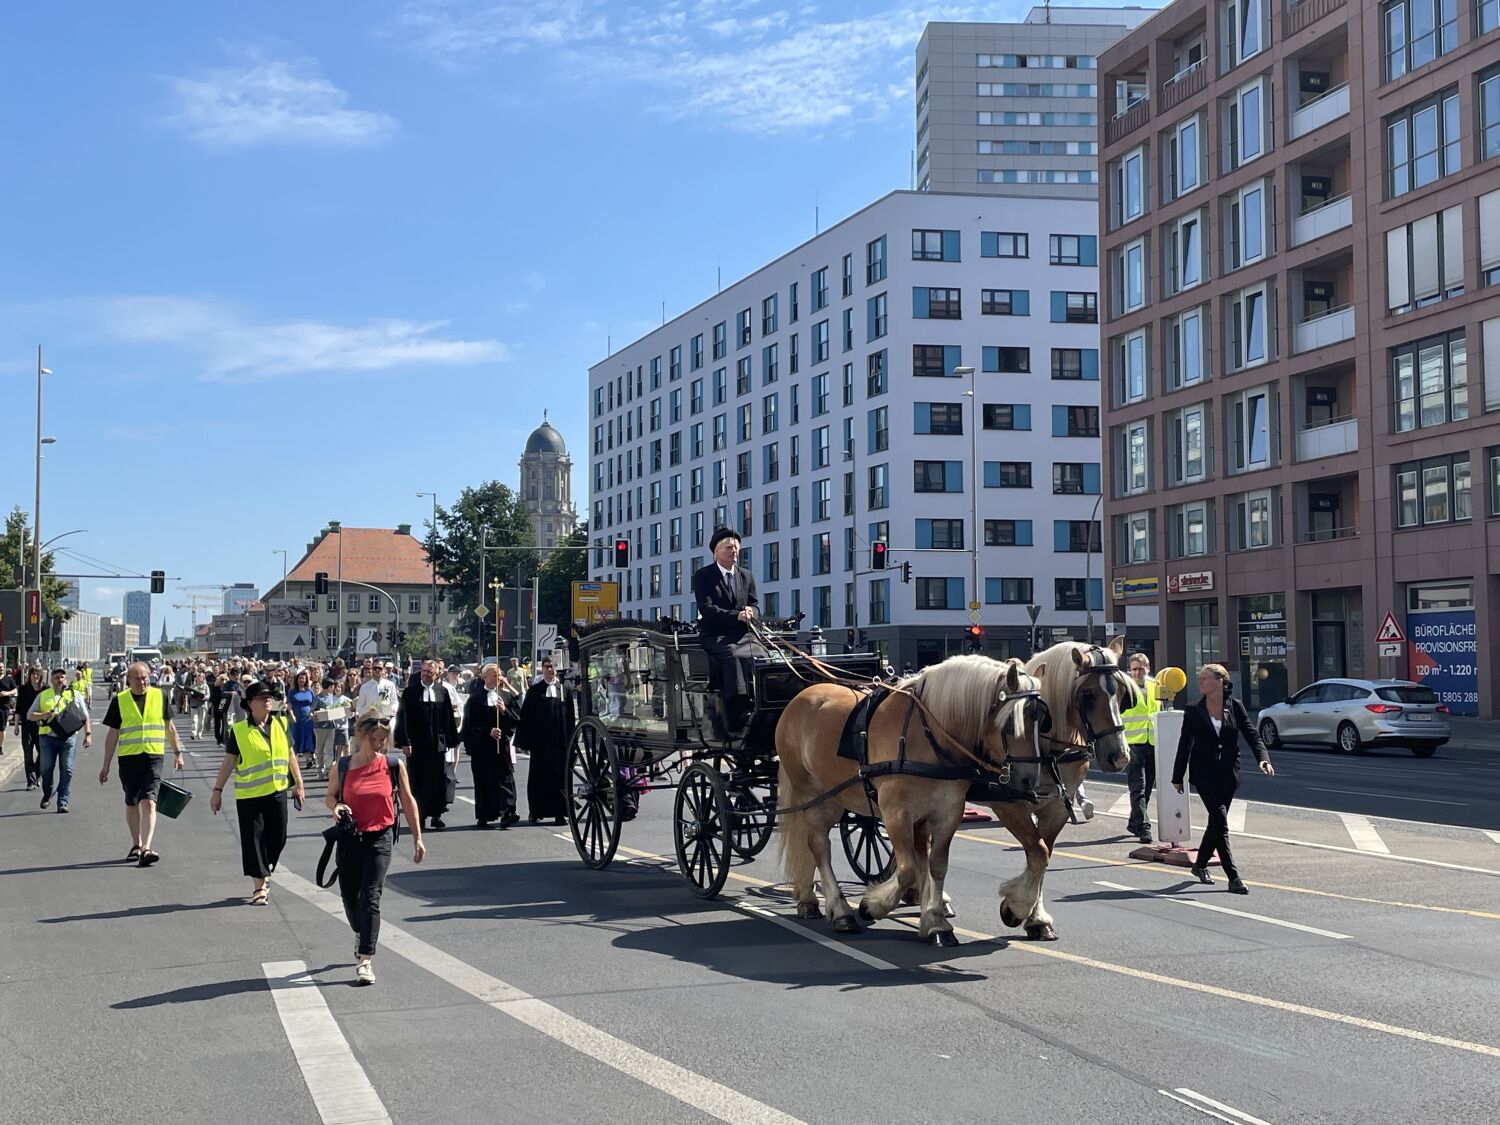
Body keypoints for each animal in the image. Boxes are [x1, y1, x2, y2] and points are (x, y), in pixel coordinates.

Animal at [774, 657, 1044, 948]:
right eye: (1011, 723)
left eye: (1043, 720)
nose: (1029, 780)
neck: (927, 735)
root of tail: (800, 698)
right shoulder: (896, 815)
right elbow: (908, 870)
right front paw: (872, 905)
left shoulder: (947, 813)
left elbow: (936, 865)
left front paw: (935, 920)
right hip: (814, 798)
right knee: (820, 847)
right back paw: (839, 910)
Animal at [984, 642, 1134, 942]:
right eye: (1087, 694)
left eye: (1122, 693)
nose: (1119, 757)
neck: (1046, 748)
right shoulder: (1009, 805)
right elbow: (1037, 853)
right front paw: (1016, 906)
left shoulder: (1055, 810)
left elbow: (1041, 857)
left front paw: (1036, 919)